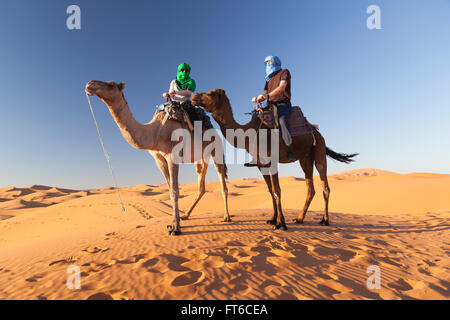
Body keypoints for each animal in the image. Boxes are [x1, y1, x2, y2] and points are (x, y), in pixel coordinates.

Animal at [85, 80, 232, 235]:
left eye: (111, 85)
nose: (90, 84)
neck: (155, 132)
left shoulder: (172, 156)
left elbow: (174, 191)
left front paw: (176, 228)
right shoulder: (158, 159)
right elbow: (169, 189)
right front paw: (173, 223)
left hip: (216, 150)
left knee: (222, 181)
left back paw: (226, 216)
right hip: (200, 158)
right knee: (201, 185)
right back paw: (186, 215)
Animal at [192, 89, 356, 231]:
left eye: (210, 93)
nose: (193, 97)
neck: (248, 134)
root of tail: (316, 131)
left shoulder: (272, 161)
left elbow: (277, 191)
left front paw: (281, 223)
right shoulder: (261, 164)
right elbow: (270, 191)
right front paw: (272, 219)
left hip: (319, 151)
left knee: (325, 185)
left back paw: (325, 220)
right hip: (305, 158)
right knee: (310, 188)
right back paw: (299, 218)